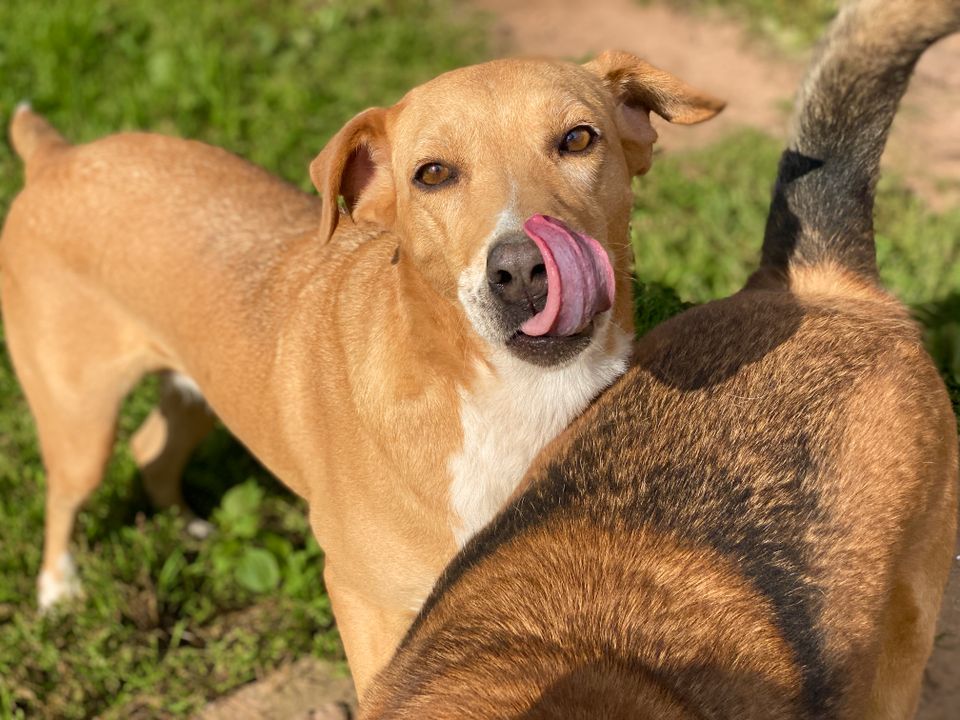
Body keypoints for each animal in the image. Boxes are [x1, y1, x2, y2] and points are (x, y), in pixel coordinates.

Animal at [0, 53, 720, 688]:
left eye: (578, 139)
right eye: (432, 174)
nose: (522, 270)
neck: (504, 401)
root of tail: (59, 156)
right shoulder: (366, 602)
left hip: (202, 390)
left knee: (152, 447)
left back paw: (186, 525)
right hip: (79, 419)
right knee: (67, 495)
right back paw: (60, 590)